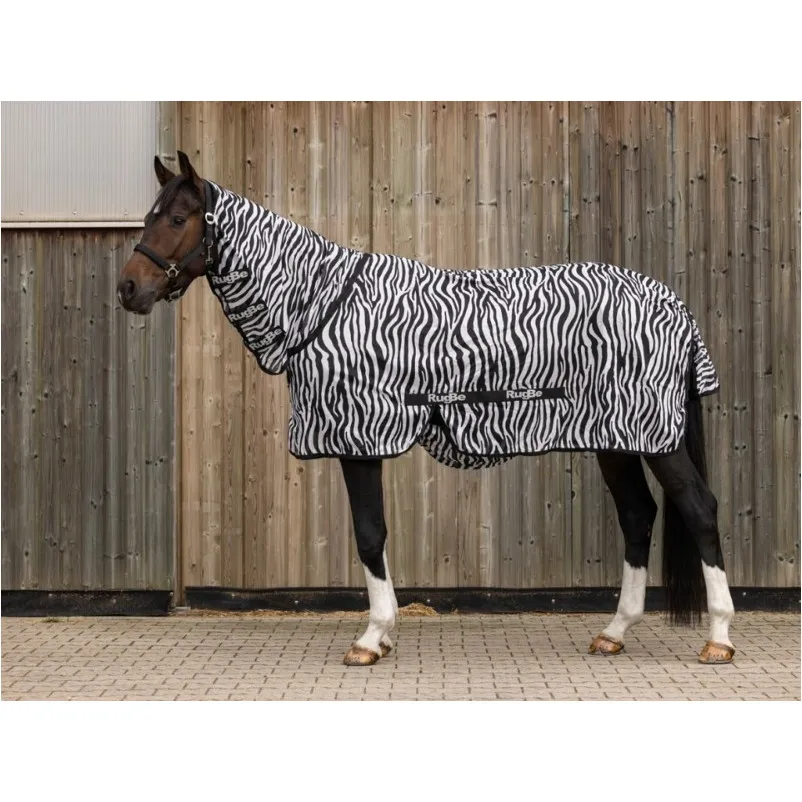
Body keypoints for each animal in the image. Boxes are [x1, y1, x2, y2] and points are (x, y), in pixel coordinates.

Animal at [119, 151, 736, 666]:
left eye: (178, 219)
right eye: (149, 216)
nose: (128, 289)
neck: (322, 306)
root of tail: (673, 304)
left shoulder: (359, 438)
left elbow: (370, 534)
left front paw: (372, 637)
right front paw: (383, 633)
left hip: (655, 436)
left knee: (699, 509)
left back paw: (719, 638)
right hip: (617, 438)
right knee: (637, 516)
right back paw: (614, 631)